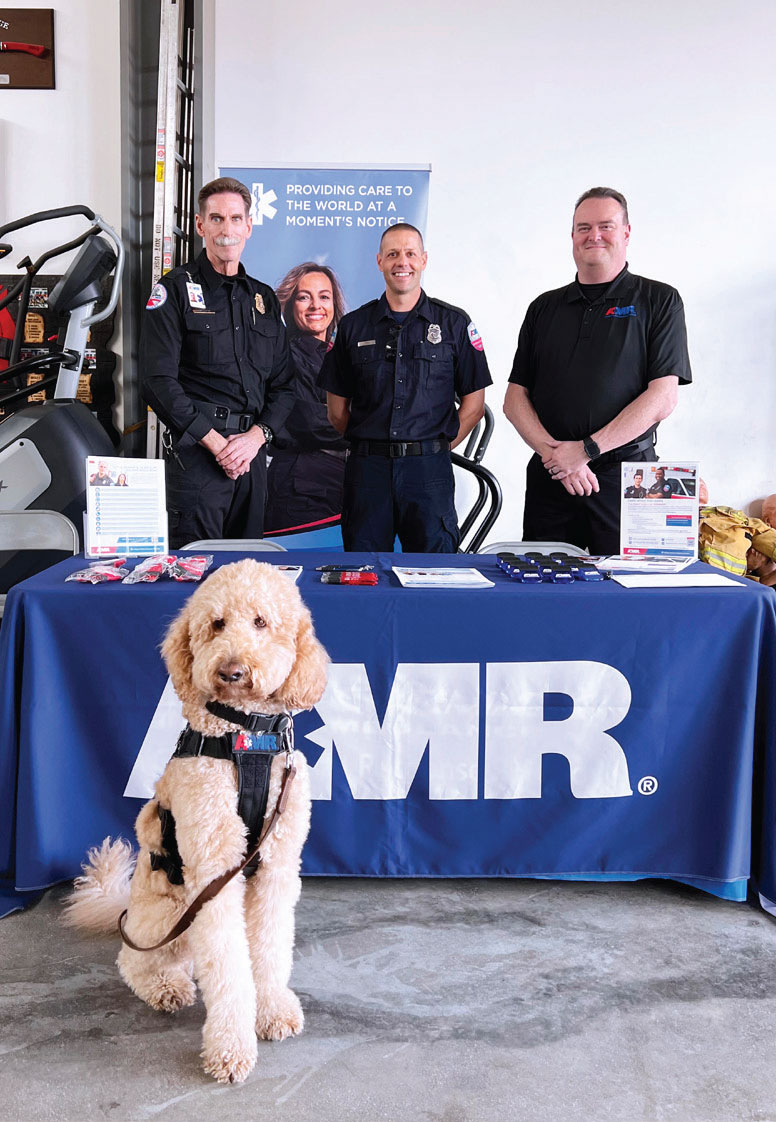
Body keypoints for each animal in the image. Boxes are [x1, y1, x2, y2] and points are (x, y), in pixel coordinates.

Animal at [66, 561, 329, 1086]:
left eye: (261, 622)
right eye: (216, 624)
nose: (231, 671)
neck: (246, 737)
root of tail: (127, 906)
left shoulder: (275, 869)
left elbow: (270, 947)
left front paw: (272, 1010)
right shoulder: (214, 873)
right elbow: (228, 967)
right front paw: (231, 1047)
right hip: (170, 915)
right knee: (133, 957)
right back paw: (165, 986)